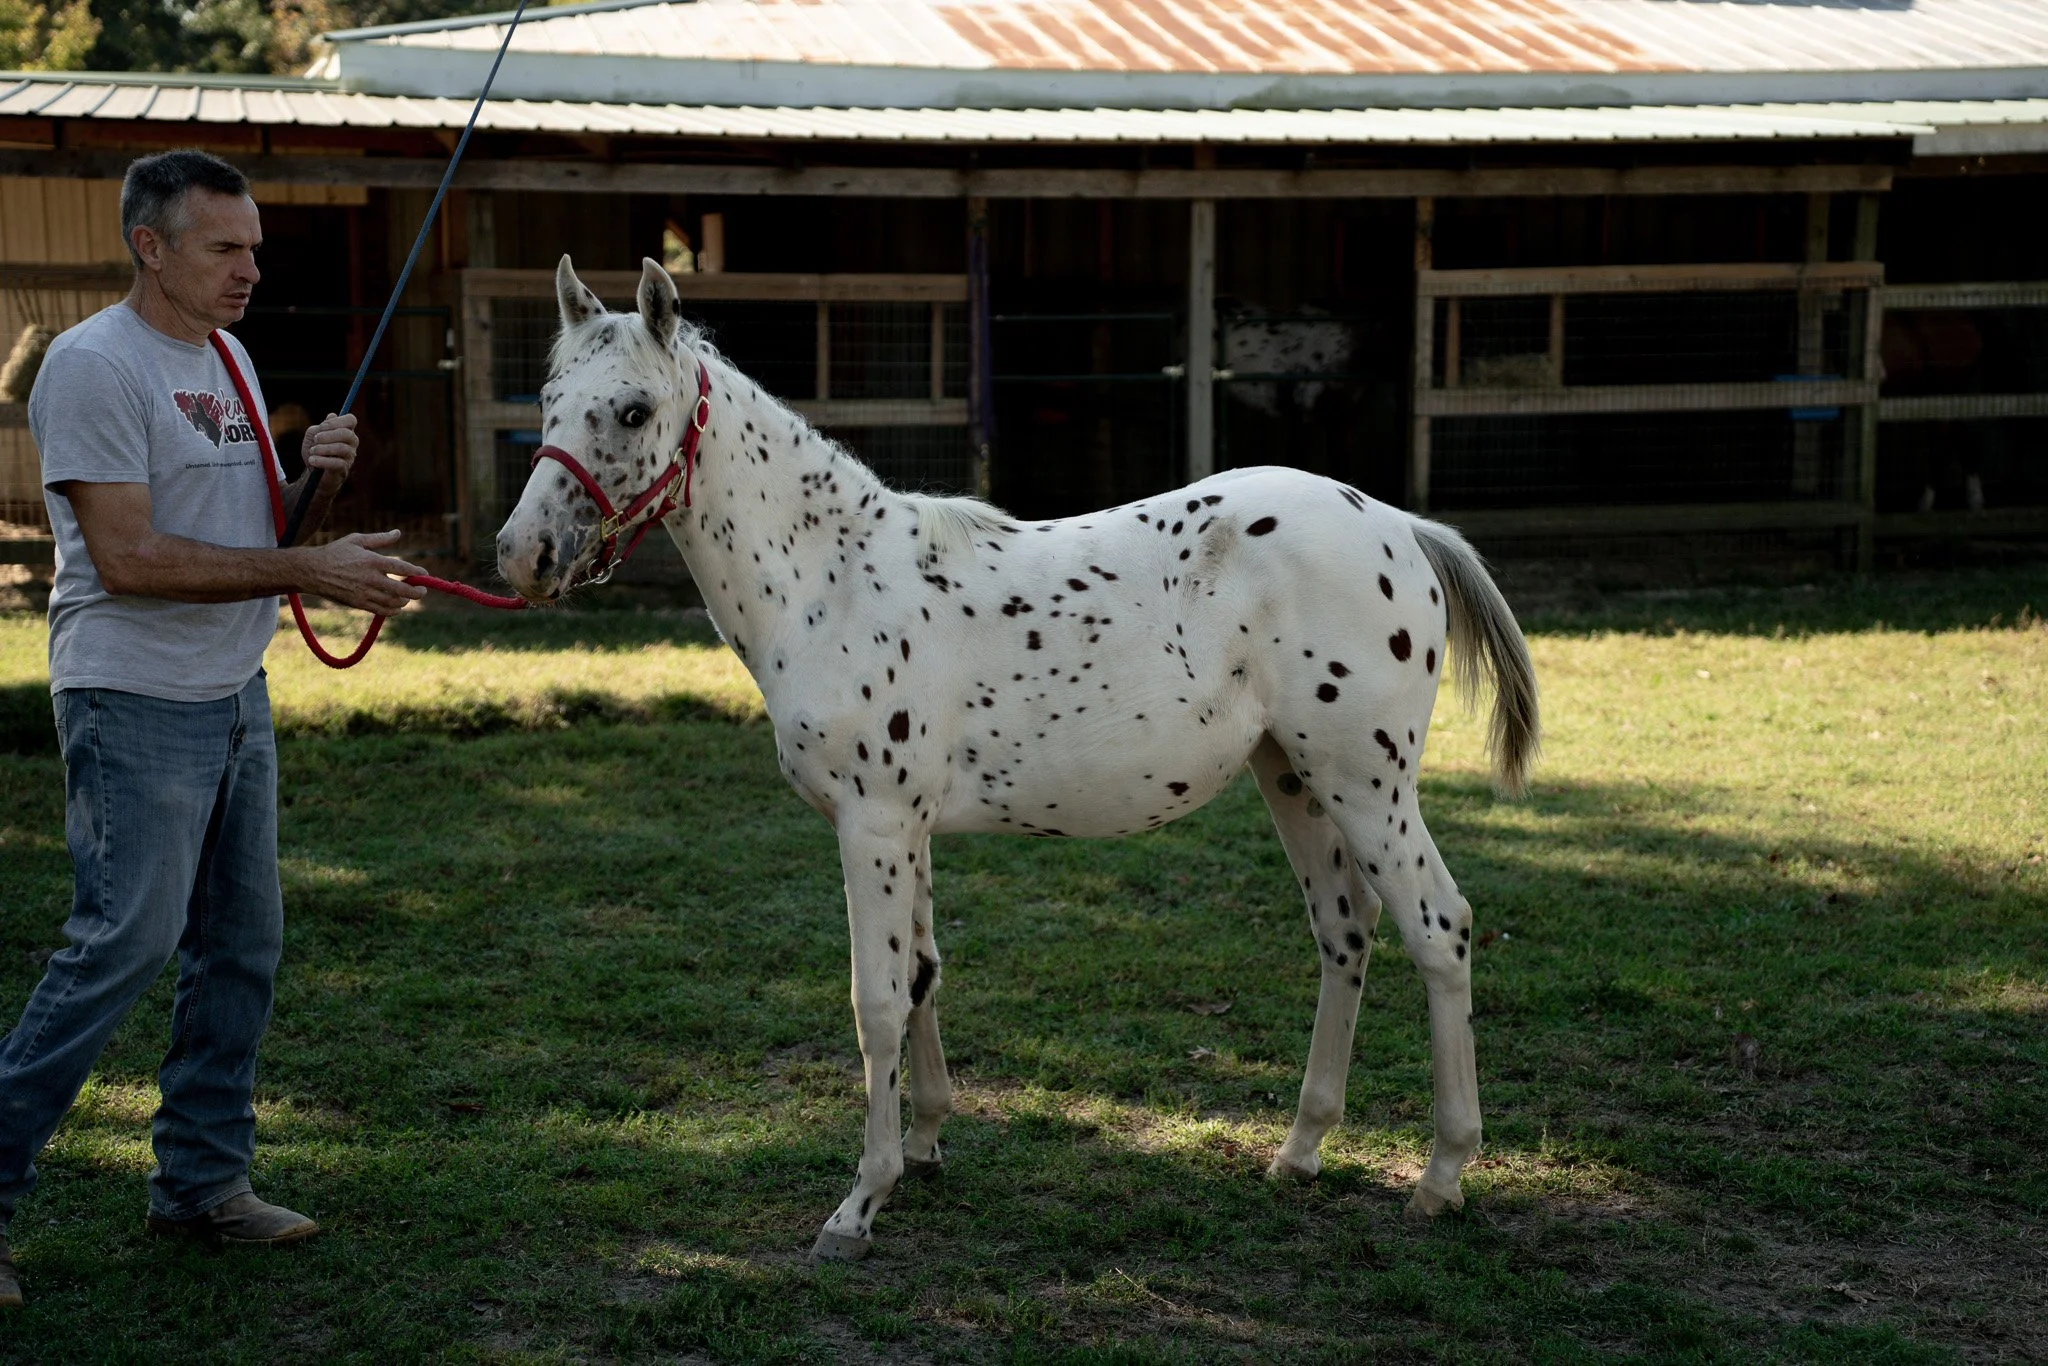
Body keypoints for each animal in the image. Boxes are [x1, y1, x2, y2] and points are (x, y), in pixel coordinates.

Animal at [496, 256, 1541, 1261]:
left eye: (634, 410)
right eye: (547, 399)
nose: (523, 555)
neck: (833, 581)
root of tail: (1403, 527)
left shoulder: (872, 824)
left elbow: (876, 1001)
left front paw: (858, 1206)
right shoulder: (907, 828)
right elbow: (922, 973)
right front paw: (925, 1148)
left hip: (1366, 783)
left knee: (1438, 928)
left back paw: (1441, 1176)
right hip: (1292, 777)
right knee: (1345, 930)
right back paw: (1302, 1150)